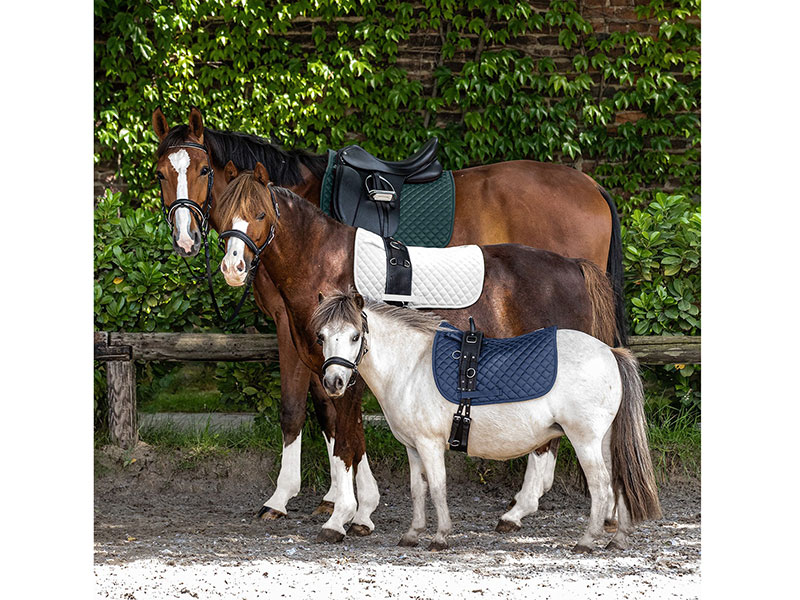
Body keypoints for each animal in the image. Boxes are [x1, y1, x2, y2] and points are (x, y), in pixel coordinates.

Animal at [151, 106, 625, 526]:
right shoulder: (310, 343)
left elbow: (328, 416)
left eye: (203, 171)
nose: (188, 240)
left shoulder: (307, 338)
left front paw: (334, 504)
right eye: (159, 173)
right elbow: (322, 413)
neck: (322, 252)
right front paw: (337, 501)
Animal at [313, 289, 661, 552]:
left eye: (355, 336)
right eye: (321, 337)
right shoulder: (413, 448)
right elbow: (417, 490)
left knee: (601, 486)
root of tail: (611, 352)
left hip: (585, 441)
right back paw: (618, 539)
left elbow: (437, 487)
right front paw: (412, 534)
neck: (411, 365)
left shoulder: (429, 445)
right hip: (604, 441)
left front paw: (440, 537)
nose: (333, 382)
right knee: (619, 480)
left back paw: (587, 541)